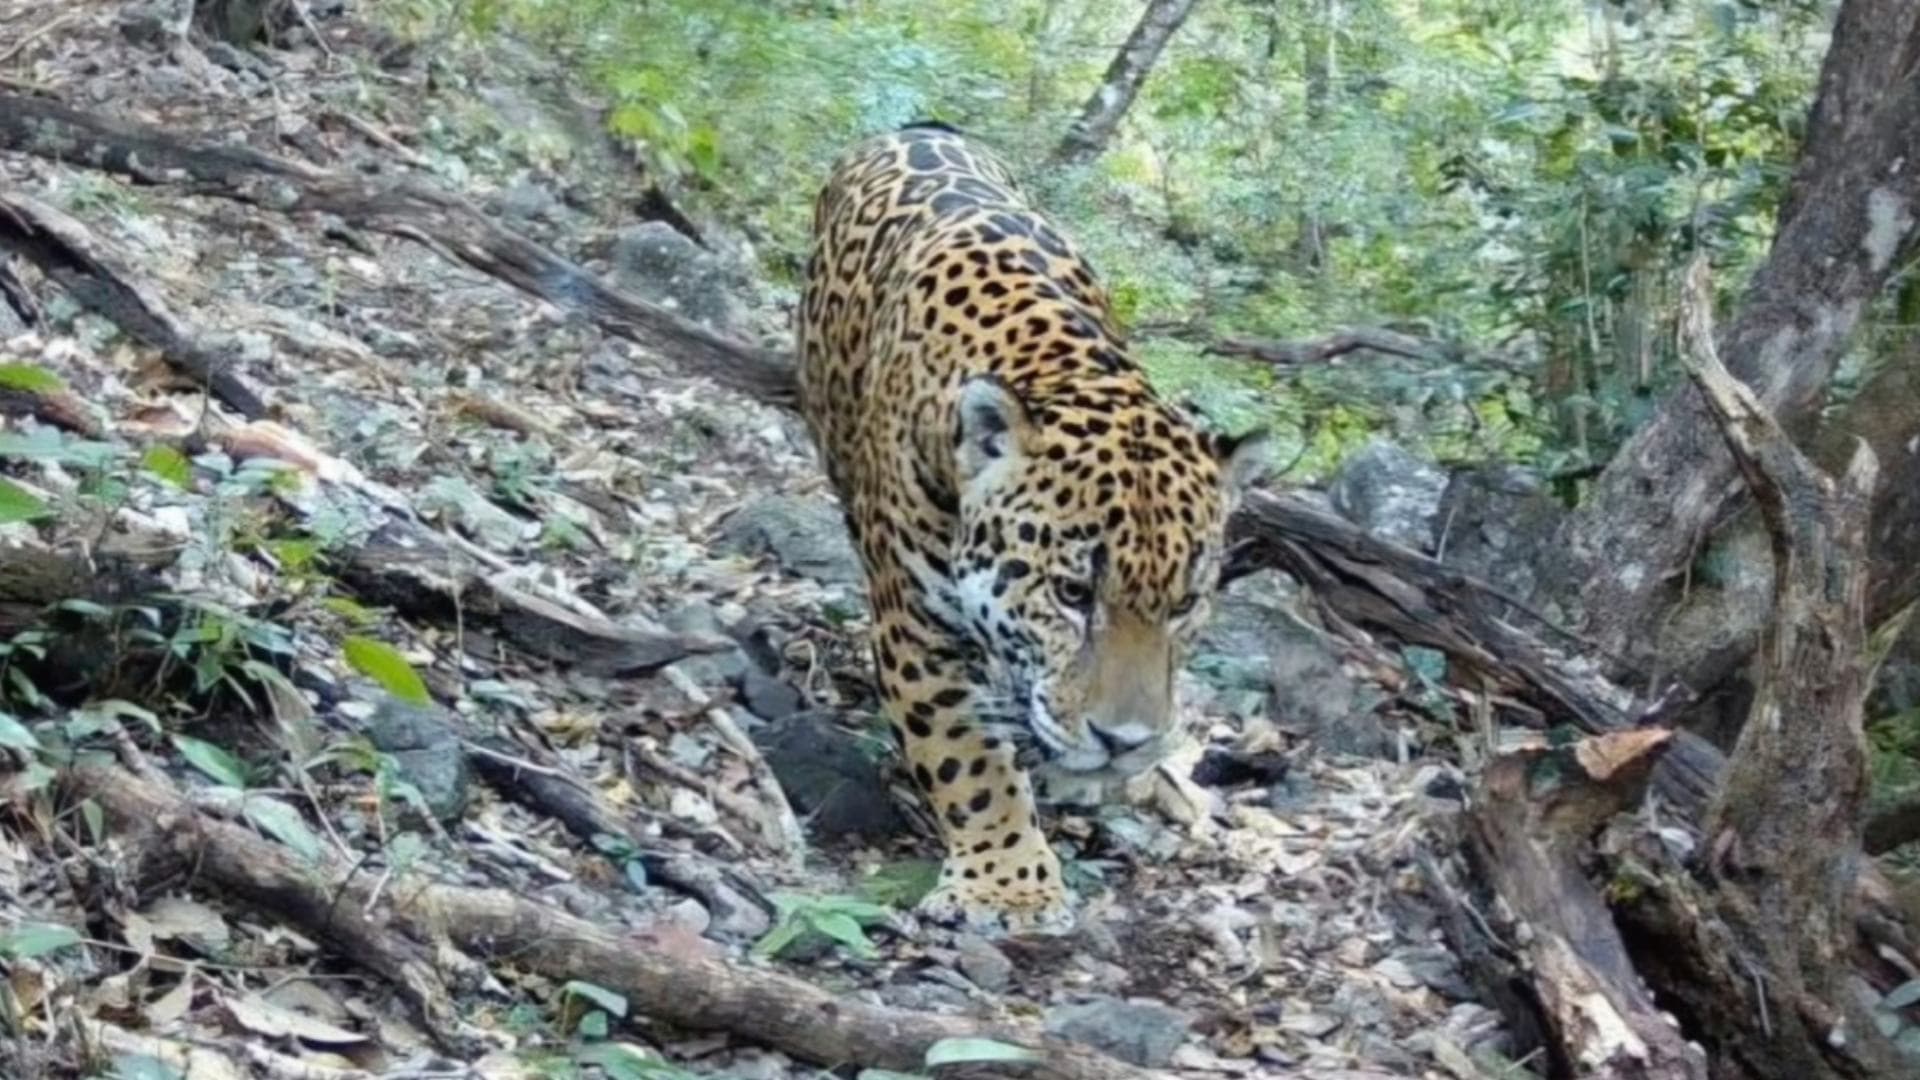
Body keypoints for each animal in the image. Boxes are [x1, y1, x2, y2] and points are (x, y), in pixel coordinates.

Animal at [794, 120, 1268, 935]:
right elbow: (968, 759)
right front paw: (1008, 886)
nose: (1124, 744)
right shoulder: (916, 625)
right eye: (1073, 595)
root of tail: (913, 129)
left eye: (1183, 606)